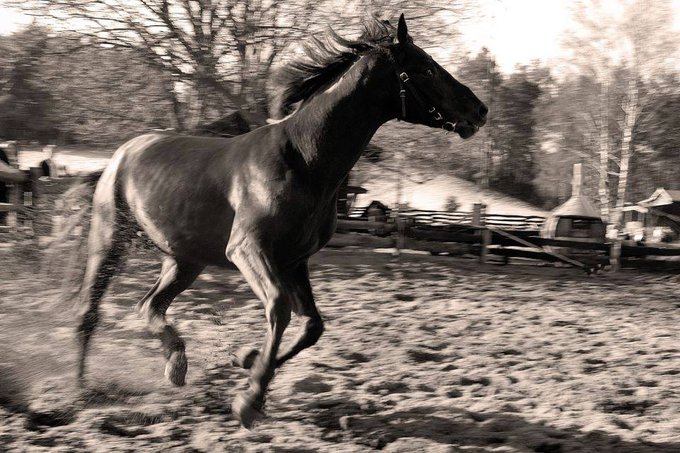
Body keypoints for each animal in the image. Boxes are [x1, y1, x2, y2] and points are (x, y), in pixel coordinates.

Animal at [77, 15, 486, 428]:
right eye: (427, 69)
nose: (480, 110)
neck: (303, 161)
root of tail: (124, 152)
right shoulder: (248, 250)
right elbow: (279, 309)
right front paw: (249, 399)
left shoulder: (293, 260)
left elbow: (311, 326)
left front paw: (246, 360)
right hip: (109, 242)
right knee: (89, 310)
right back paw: (80, 392)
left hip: (185, 260)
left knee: (149, 306)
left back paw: (176, 365)